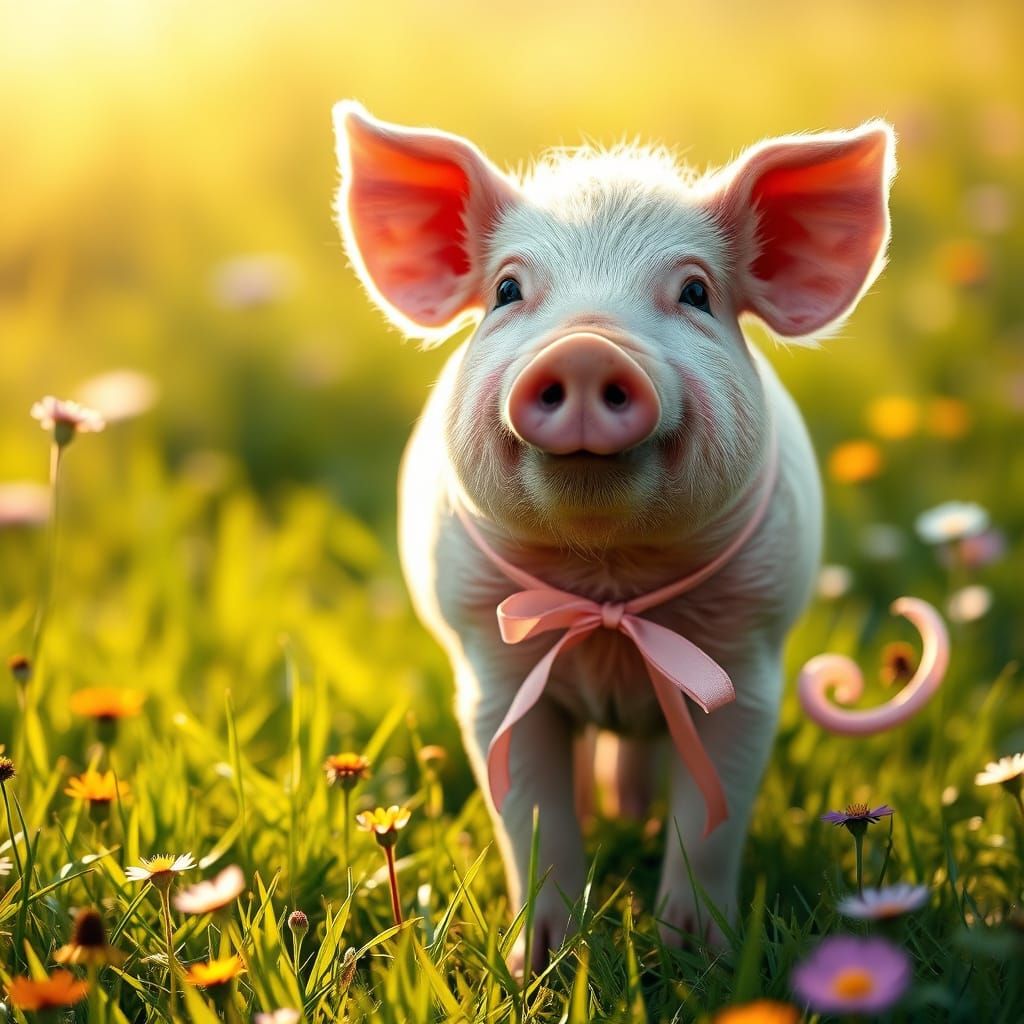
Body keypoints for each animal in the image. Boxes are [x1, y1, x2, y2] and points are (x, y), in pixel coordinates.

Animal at [331, 103, 916, 969]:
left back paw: (631, 811)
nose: (584, 346)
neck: (609, 588)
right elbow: (531, 816)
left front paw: (697, 956)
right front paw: (540, 963)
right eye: (507, 289)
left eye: (696, 292)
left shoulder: (747, 664)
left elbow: (711, 822)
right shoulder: (491, 670)